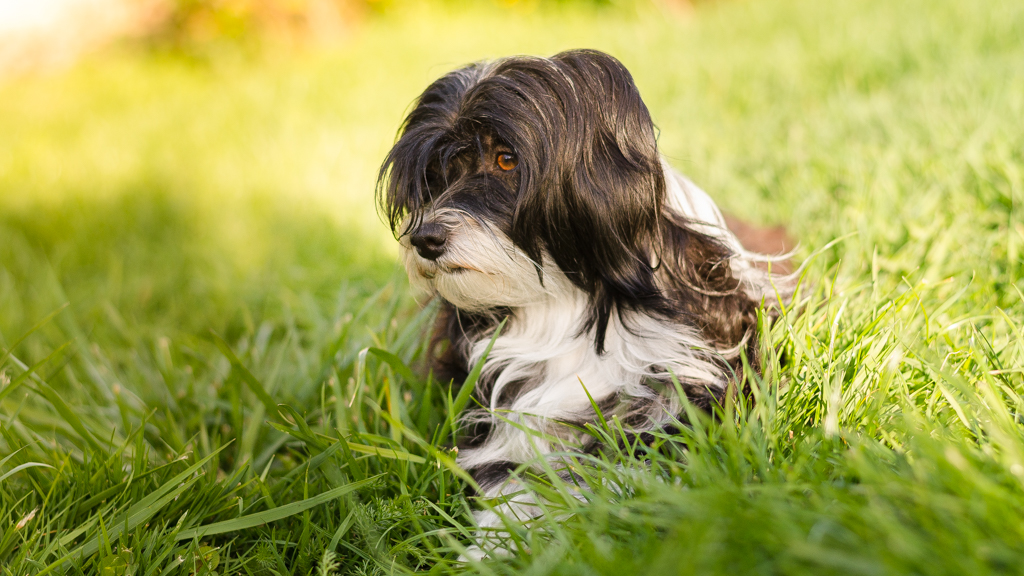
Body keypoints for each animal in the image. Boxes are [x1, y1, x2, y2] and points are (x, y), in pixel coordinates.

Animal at [376, 50, 790, 557]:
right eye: (435, 175)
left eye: (506, 159)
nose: (425, 239)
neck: (563, 302)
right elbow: (508, 482)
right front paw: (491, 549)